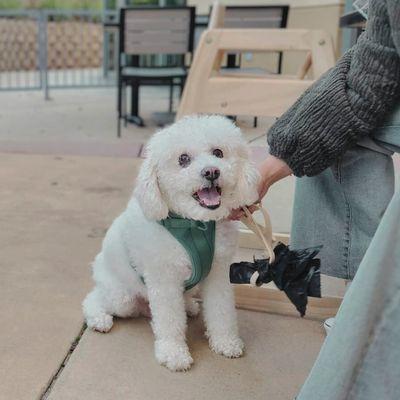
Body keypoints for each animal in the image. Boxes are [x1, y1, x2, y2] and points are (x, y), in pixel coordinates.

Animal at [83, 115, 260, 372]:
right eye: (183, 159)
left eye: (218, 152)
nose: (211, 172)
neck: (195, 224)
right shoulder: (164, 280)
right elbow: (169, 320)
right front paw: (173, 353)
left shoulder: (218, 273)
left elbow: (221, 310)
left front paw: (225, 341)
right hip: (122, 298)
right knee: (94, 298)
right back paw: (98, 318)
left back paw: (189, 306)